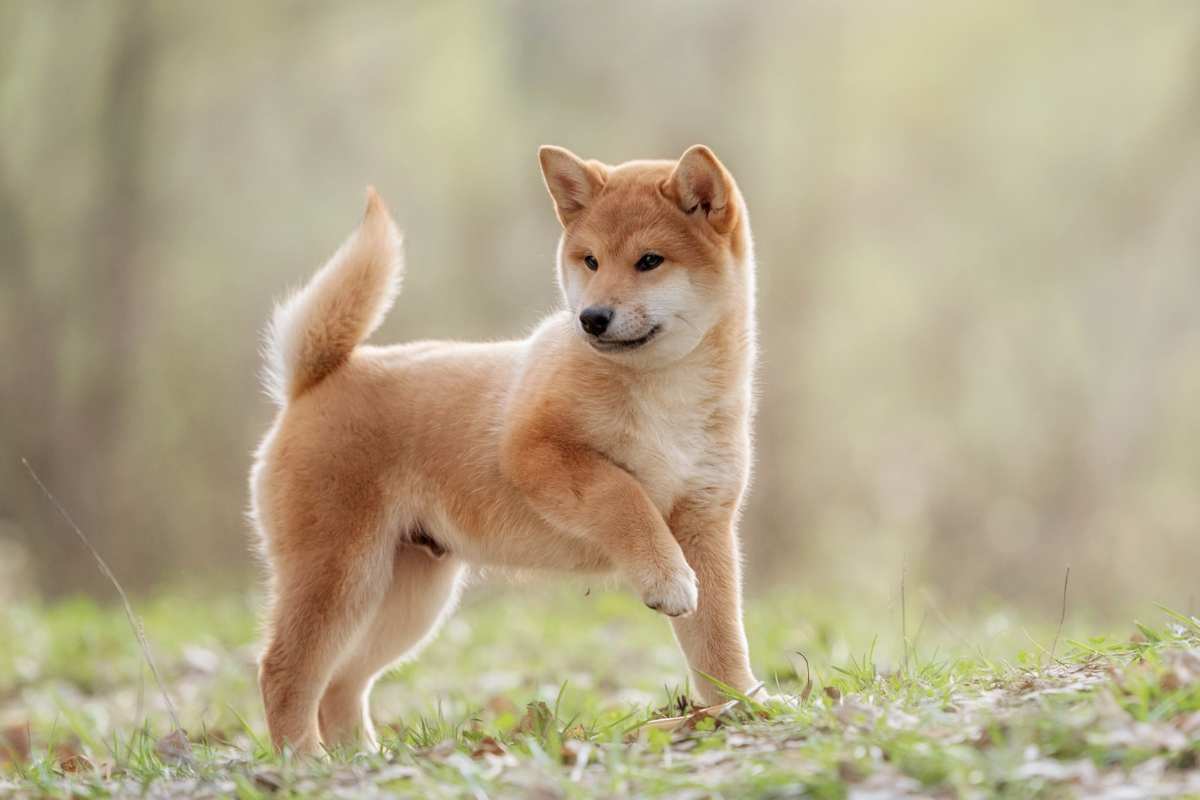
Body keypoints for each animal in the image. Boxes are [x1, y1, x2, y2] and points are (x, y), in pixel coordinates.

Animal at [248, 145, 763, 758]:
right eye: (590, 261)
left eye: (649, 261)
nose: (591, 318)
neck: (665, 388)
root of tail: (312, 382)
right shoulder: (534, 450)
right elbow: (623, 495)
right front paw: (666, 579)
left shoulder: (705, 521)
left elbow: (719, 641)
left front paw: (744, 705)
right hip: (339, 574)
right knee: (284, 671)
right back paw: (303, 759)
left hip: (405, 597)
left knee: (340, 684)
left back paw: (361, 757)